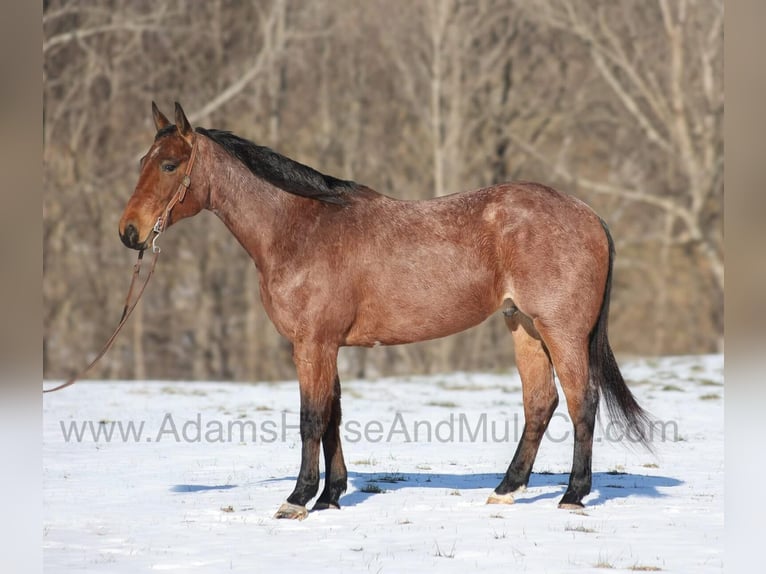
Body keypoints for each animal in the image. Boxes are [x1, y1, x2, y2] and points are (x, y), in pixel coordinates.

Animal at [119, 102, 651, 520]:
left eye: (170, 165)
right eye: (143, 160)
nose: (129, 232)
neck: (299, 229)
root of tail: (588, 214)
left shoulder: (312, 343)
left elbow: (311, 418)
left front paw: (298, 499)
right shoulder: (327, 345)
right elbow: (332, 415)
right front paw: (331, 496)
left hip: (560, 331)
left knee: (583, 402)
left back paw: (572, 495)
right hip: (523, 326)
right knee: (540, 403)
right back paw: (506, 490)